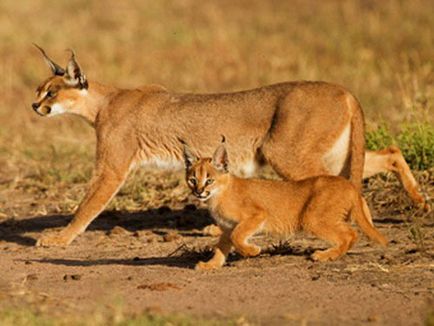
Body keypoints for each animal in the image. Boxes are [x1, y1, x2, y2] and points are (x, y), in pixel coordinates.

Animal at [181, 138, 388, 270]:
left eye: (209, 180)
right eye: (192, 180)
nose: (198, 191)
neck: (218, 196)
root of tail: (348, 184)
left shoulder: (257, 215)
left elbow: (237, 236)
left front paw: (252, 251)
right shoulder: (227, 227)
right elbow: (222, 246)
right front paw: (211, 265)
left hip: (311, 218)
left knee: (350, 234)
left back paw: (324, 255)